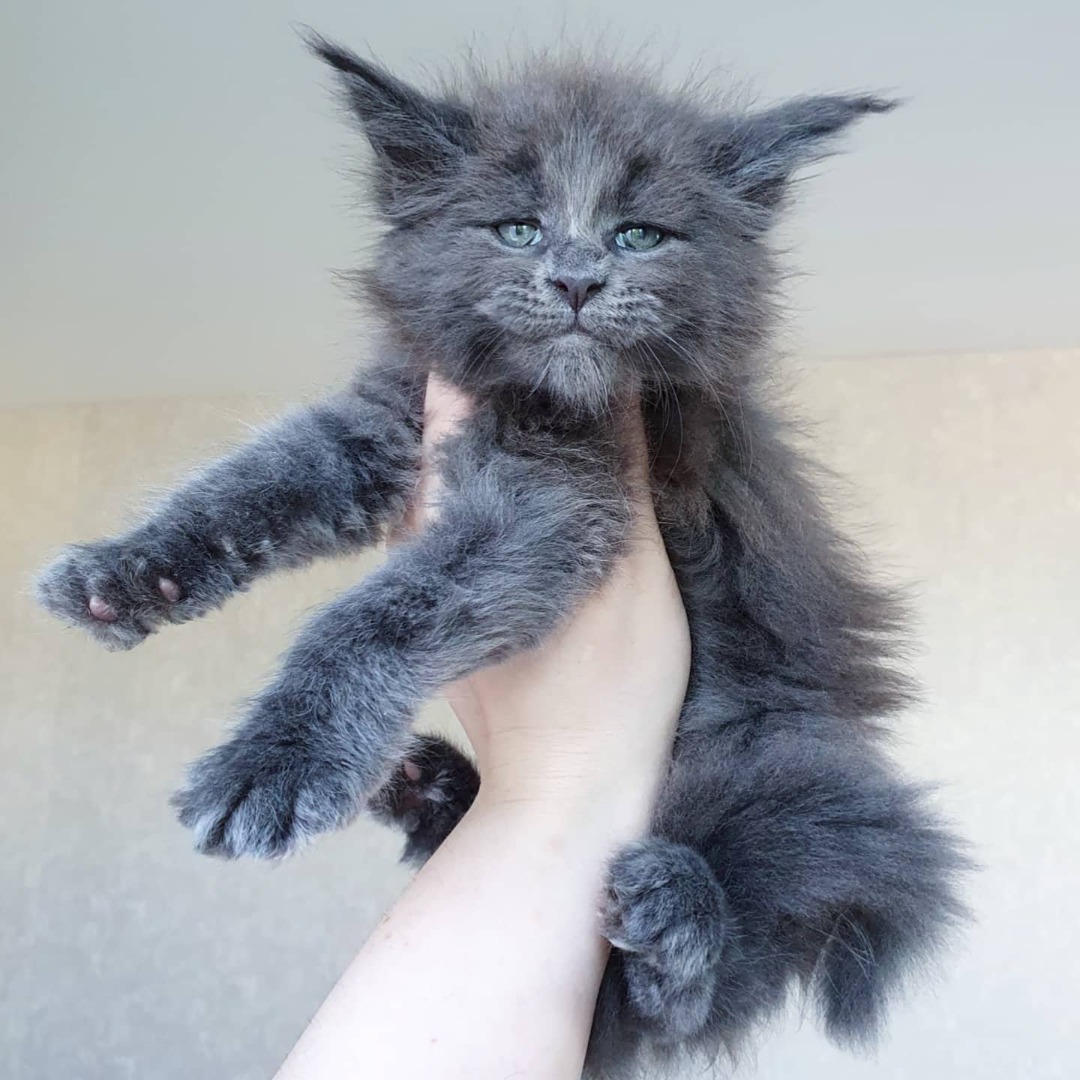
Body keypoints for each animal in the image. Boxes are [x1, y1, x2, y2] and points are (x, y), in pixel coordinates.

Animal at [39, 35, 972, 1080]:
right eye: (519, 230)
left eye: (639, 236)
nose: (575, 280)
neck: (544, 401)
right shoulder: (381, 424)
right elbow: (248, 481)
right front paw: (125, 573)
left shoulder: (558, 504)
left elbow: (372, 616)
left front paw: (273, 762)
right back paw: (433, 790)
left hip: (778, 763)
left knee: (696, 991)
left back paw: (677, 924)